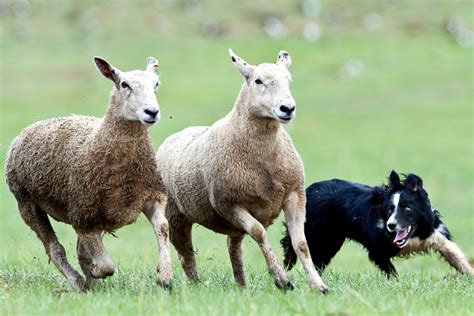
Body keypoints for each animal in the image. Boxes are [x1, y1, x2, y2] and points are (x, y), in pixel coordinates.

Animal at [157, 49, 328, 294]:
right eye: (258, 81)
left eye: (288, 80)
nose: (287, 108)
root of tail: (174, 136)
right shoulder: (229, 204)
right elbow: (259, 233)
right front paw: (282, 279)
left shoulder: (295, 195)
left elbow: (301, 244)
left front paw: (318, 285)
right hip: (176, 215)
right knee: (186, 255)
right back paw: (196, 285)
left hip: (230, 225)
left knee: (233, 247)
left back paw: (241, 284)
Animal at [280, 170, 472, 276]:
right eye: (390, 209)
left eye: (407, 208)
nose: (391, 225)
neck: (416, 234)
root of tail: (309, 190)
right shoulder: (377, 249)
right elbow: (390, 271)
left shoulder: (436, 233)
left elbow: (455, 254)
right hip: (319, 235)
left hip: (331, 241)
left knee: (318, 261)